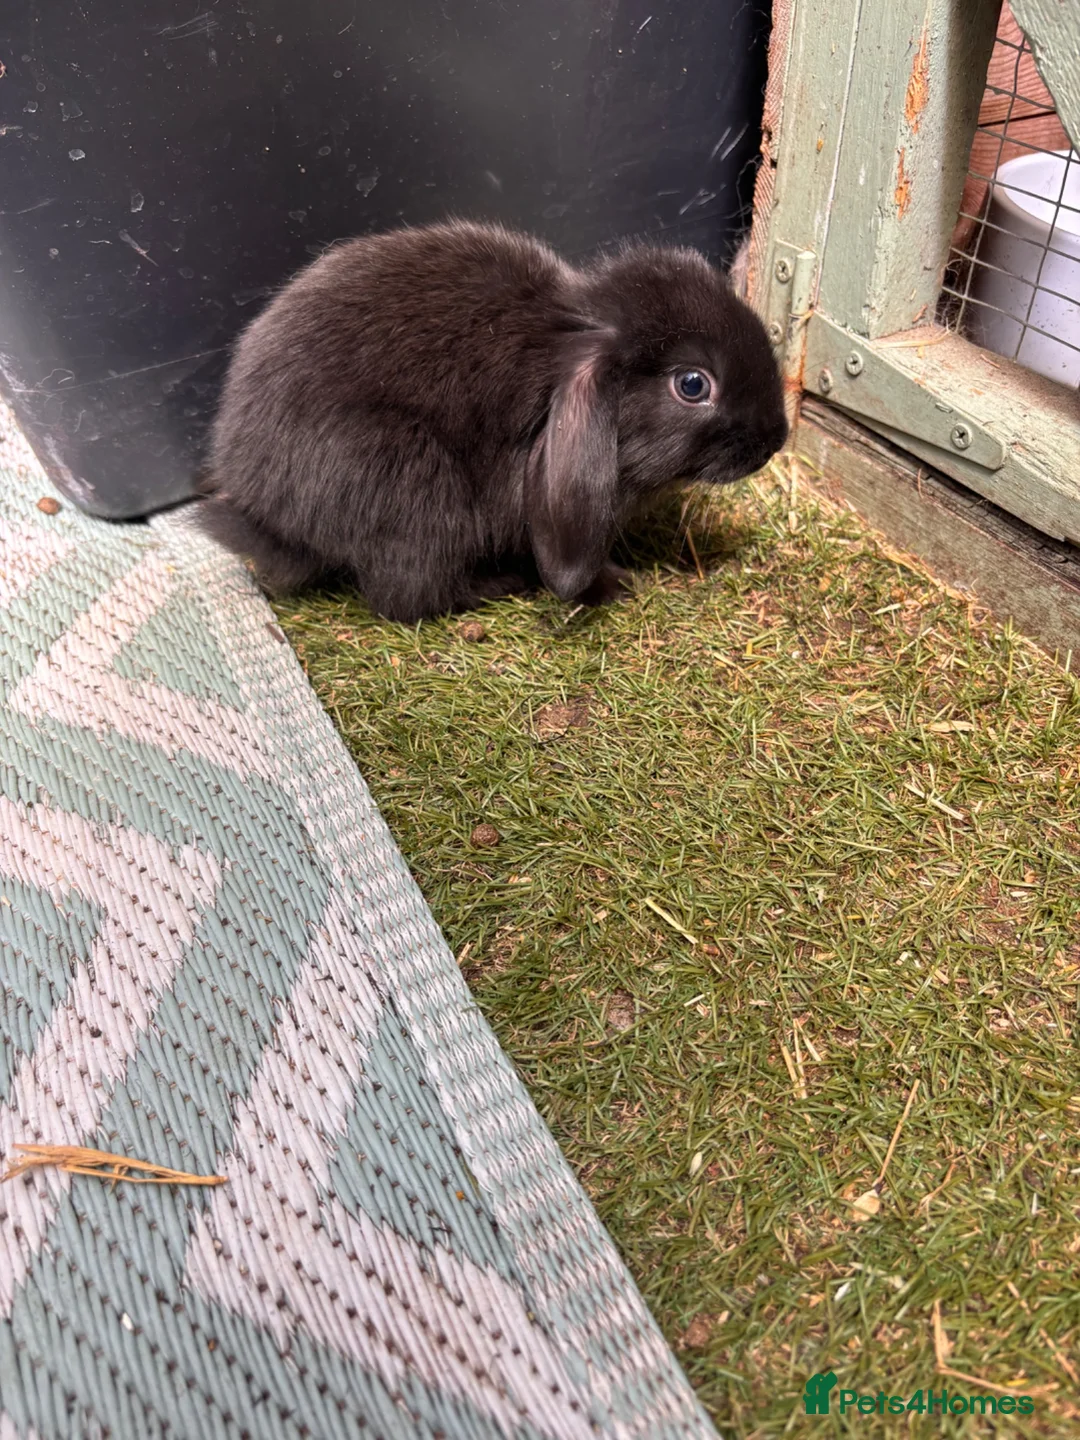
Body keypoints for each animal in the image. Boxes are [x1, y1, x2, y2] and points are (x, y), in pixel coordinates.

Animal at [197, 220, 787, 623]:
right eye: (692, 385)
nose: (775, 440)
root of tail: (268, 516)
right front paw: (613, 584)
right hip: (412, 486)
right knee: (406, 597)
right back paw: (496, 585)